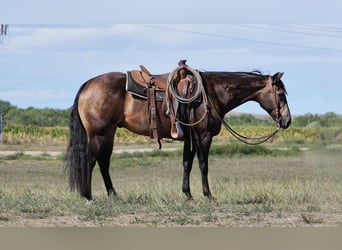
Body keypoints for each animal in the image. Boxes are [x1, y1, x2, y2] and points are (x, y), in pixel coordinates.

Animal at [65, 62, 292, 201]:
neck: (211, 93)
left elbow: (187, 164)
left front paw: (188, 194)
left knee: (104, 163)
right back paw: (87, 197)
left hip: (109, 133)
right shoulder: (203, 136)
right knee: (91, 161)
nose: (287, 121)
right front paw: (208, 195)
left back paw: (114, 195)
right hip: (99, 134)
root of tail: (88, 84)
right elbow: (203, 165)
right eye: (280, 93)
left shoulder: (189, 138)